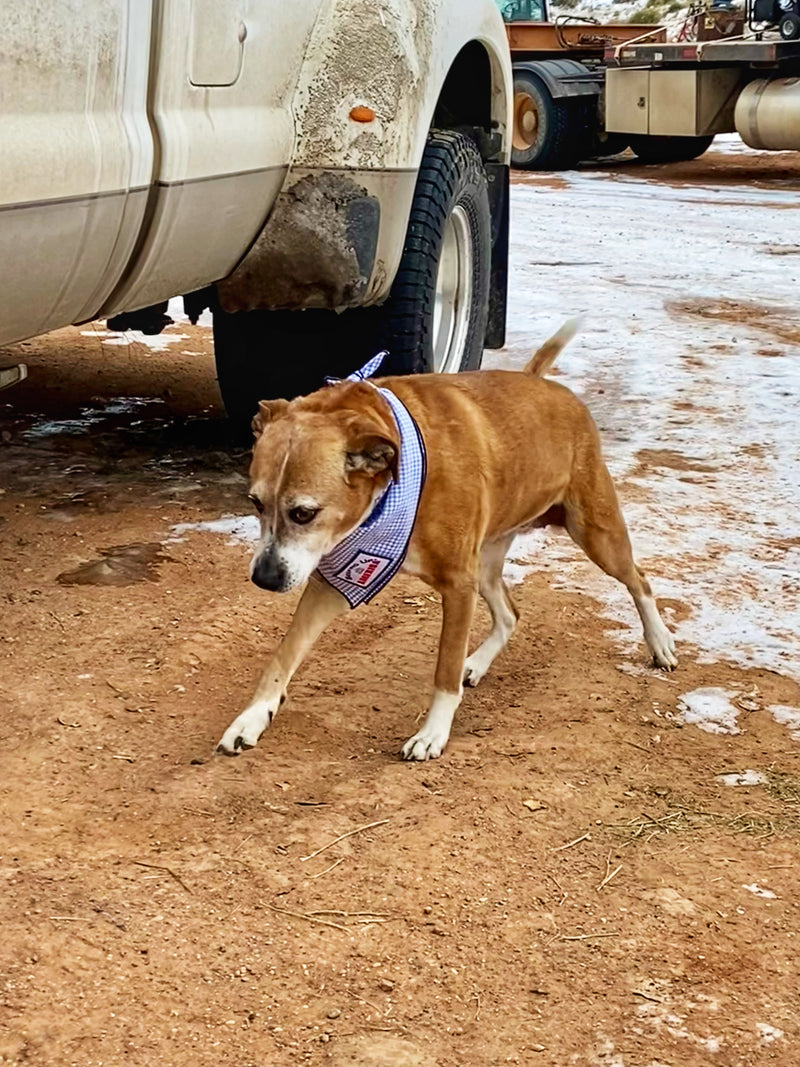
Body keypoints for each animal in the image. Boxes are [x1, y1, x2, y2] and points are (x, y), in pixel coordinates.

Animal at [217, 322, 678, 759]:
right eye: (255, 502)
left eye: (304, 513)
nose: (264, 579)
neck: (400, 478)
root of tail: (544, 384)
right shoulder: (336, 580)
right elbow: (285, 651)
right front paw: (252, 717)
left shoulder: (457, 586)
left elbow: (444, 670)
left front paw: (432, 734)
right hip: (487, 562)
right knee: (510, 614)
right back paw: (476, 664)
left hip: (596, 534)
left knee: (639, 580)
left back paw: (660, 643)